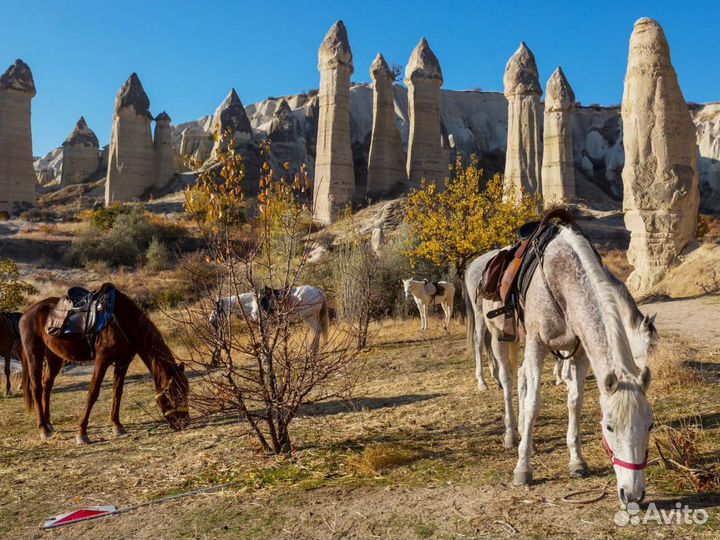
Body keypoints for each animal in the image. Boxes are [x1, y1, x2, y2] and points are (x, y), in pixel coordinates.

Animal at [20, 284, 190, 446]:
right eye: (173, 393)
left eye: (185, 391)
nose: (184, 423)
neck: (122, 321)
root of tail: (26, 314)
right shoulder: (102, 359)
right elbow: (93, 393)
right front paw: (82, 433)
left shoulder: (123, 362)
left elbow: (117, 392)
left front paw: (117, 425)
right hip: (34, 354)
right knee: (36, 388)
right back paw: (43, 429)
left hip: (54, 357)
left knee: (47, 385)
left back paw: (49, 424)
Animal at [466, 225, 660, 506]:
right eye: (609, 426)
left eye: (650, 425)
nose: (633, 494)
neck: (562, 279)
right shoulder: (537, 344)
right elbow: (534, 403)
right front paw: (523, 468)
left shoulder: (579, 353)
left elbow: (575, 402)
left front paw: (577, 461)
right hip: (499, 335)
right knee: (508, 381)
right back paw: (512, 433)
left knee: (522, 378)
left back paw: (526, 436)